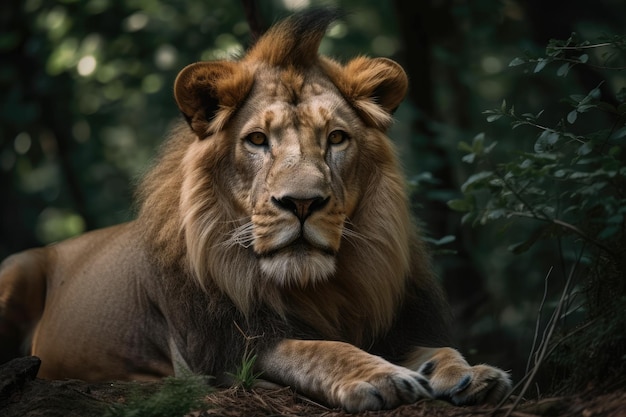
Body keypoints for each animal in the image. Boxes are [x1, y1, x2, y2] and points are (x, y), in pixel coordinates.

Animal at [0, 8, 508, 410]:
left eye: (336, 138)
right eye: (258, 140)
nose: (302, 202)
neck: (318, 288)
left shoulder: (392, 324)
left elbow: (434, 348)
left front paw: (469, 371)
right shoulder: (221, 354)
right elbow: (315, 349)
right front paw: (379, 375)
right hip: (15, 273)